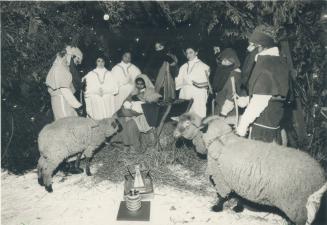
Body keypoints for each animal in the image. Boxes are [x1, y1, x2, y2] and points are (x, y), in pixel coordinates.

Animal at [173, 112, 326, 225]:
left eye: (187, 124)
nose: (174, 135)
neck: (221, 140)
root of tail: (320, 178)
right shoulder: (240, 178)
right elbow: (240, 196)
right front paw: (238, 207)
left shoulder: (221, 176)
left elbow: (221, 195)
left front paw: (217, 208)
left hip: (298, 207)